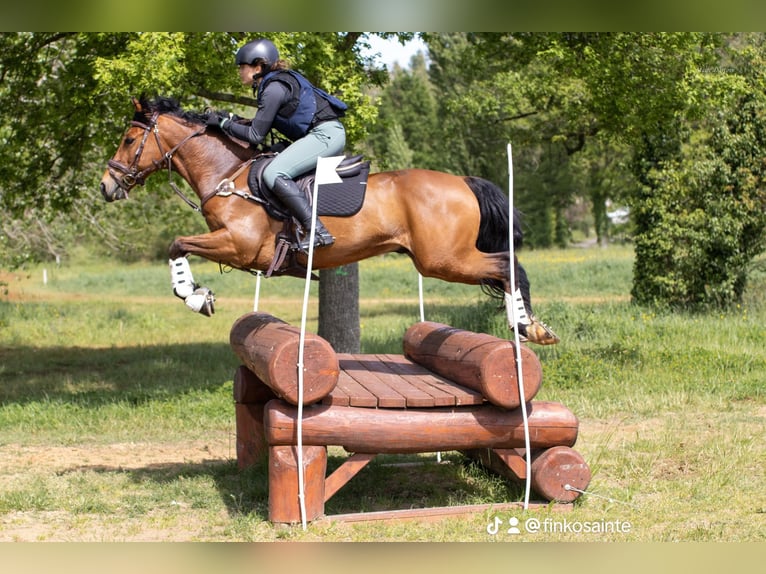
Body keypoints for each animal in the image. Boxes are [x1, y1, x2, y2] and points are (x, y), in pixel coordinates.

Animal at [100, 96, 560, 344]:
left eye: (128, 139)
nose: (107, 186)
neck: (228, 173)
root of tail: (463, 181)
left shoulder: (240, 246)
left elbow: (176, 243)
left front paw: (194, 295)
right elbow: (178, 245)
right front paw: (199, 293)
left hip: (442, 260)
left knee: (507, 265)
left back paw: (527, 326)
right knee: (505, 268)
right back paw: (530, 327)